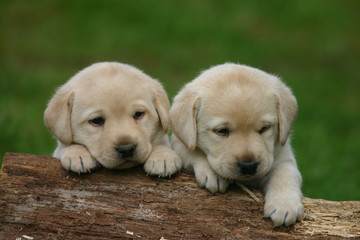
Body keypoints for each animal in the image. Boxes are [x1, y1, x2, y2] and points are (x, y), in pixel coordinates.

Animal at [44, 62, 181, 176]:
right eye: (96, 121)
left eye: (138, 114)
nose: (126, 149)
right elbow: (65, 145)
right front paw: (77, 154)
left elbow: (161, 143)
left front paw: (163, 157)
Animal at [171, 62, 304, 226]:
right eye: (222, 131)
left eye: (264, 128)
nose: (249, 166)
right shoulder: (178, 143)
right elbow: (192, 150)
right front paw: (212, 172)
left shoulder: (283, 156)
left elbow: (285, 174)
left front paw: (284, 205)